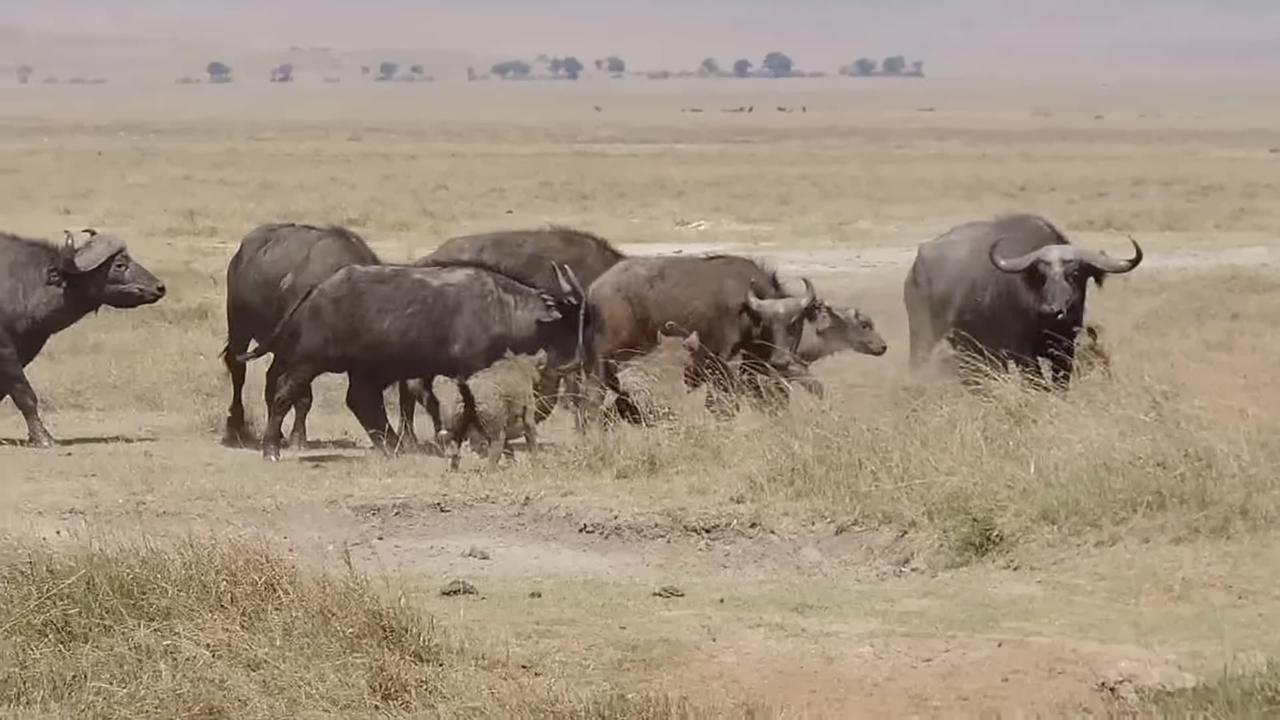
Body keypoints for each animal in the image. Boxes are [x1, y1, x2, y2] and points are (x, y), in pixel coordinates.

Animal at [1, 228, 165, 447]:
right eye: (120, 264)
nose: (160, 287)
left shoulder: (28, 347)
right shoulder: (6, 350)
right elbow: (24, 394)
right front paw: (42, 437)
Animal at [221, 223, 381, 448]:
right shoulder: (303, 356)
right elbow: (304, 397)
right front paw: (298, 437)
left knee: (271, 379)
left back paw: (277, 433)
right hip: (239, 327)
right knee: (238, 371)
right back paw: (235, 425)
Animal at [237, 261, 583, 461]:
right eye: (569, 323)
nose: (576, 358)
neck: (502, 309)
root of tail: (318, 289)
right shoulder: (471, 369)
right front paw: (481, 445)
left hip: (364, 369)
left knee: (361, 402)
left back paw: (393, 446)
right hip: (308, 361)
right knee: (284, 393)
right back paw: (270, 449)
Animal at [581, 254, 820, 423]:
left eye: (794, 323)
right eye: (768, 323)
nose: (781, 360)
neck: (746, 312)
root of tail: (595, 289)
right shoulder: (721, 363)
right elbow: (722, 402)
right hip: (607, 358)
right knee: (594, 394)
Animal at [903, 213, 1141, 387]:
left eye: (1074, 273)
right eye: (1040, 275)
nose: (1051, 309)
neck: (1045, 323)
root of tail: (918, 264)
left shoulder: (1065, 349)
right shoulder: (1022, 353)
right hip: (923, 337)